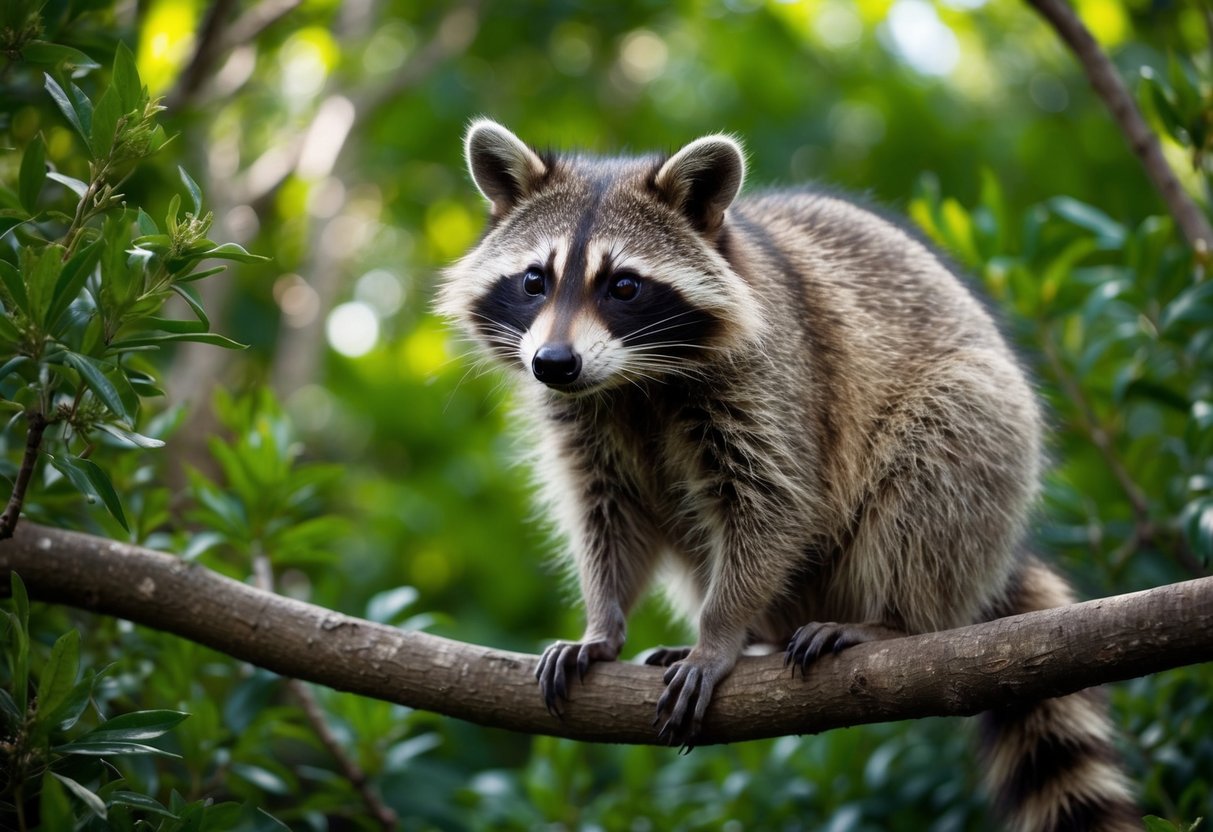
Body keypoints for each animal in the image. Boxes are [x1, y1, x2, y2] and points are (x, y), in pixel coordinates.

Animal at [440, 119, 1139, 831]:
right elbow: (604, 514)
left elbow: (775, 505)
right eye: (534, 280)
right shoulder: (586, 424)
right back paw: (761, 639)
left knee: (940, 455)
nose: (554, 362)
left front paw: (719, 632)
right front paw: (603, 623)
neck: (633, 380)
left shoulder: (775, 380)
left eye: (624, 286)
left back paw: (894, 620)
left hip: (991, 440)